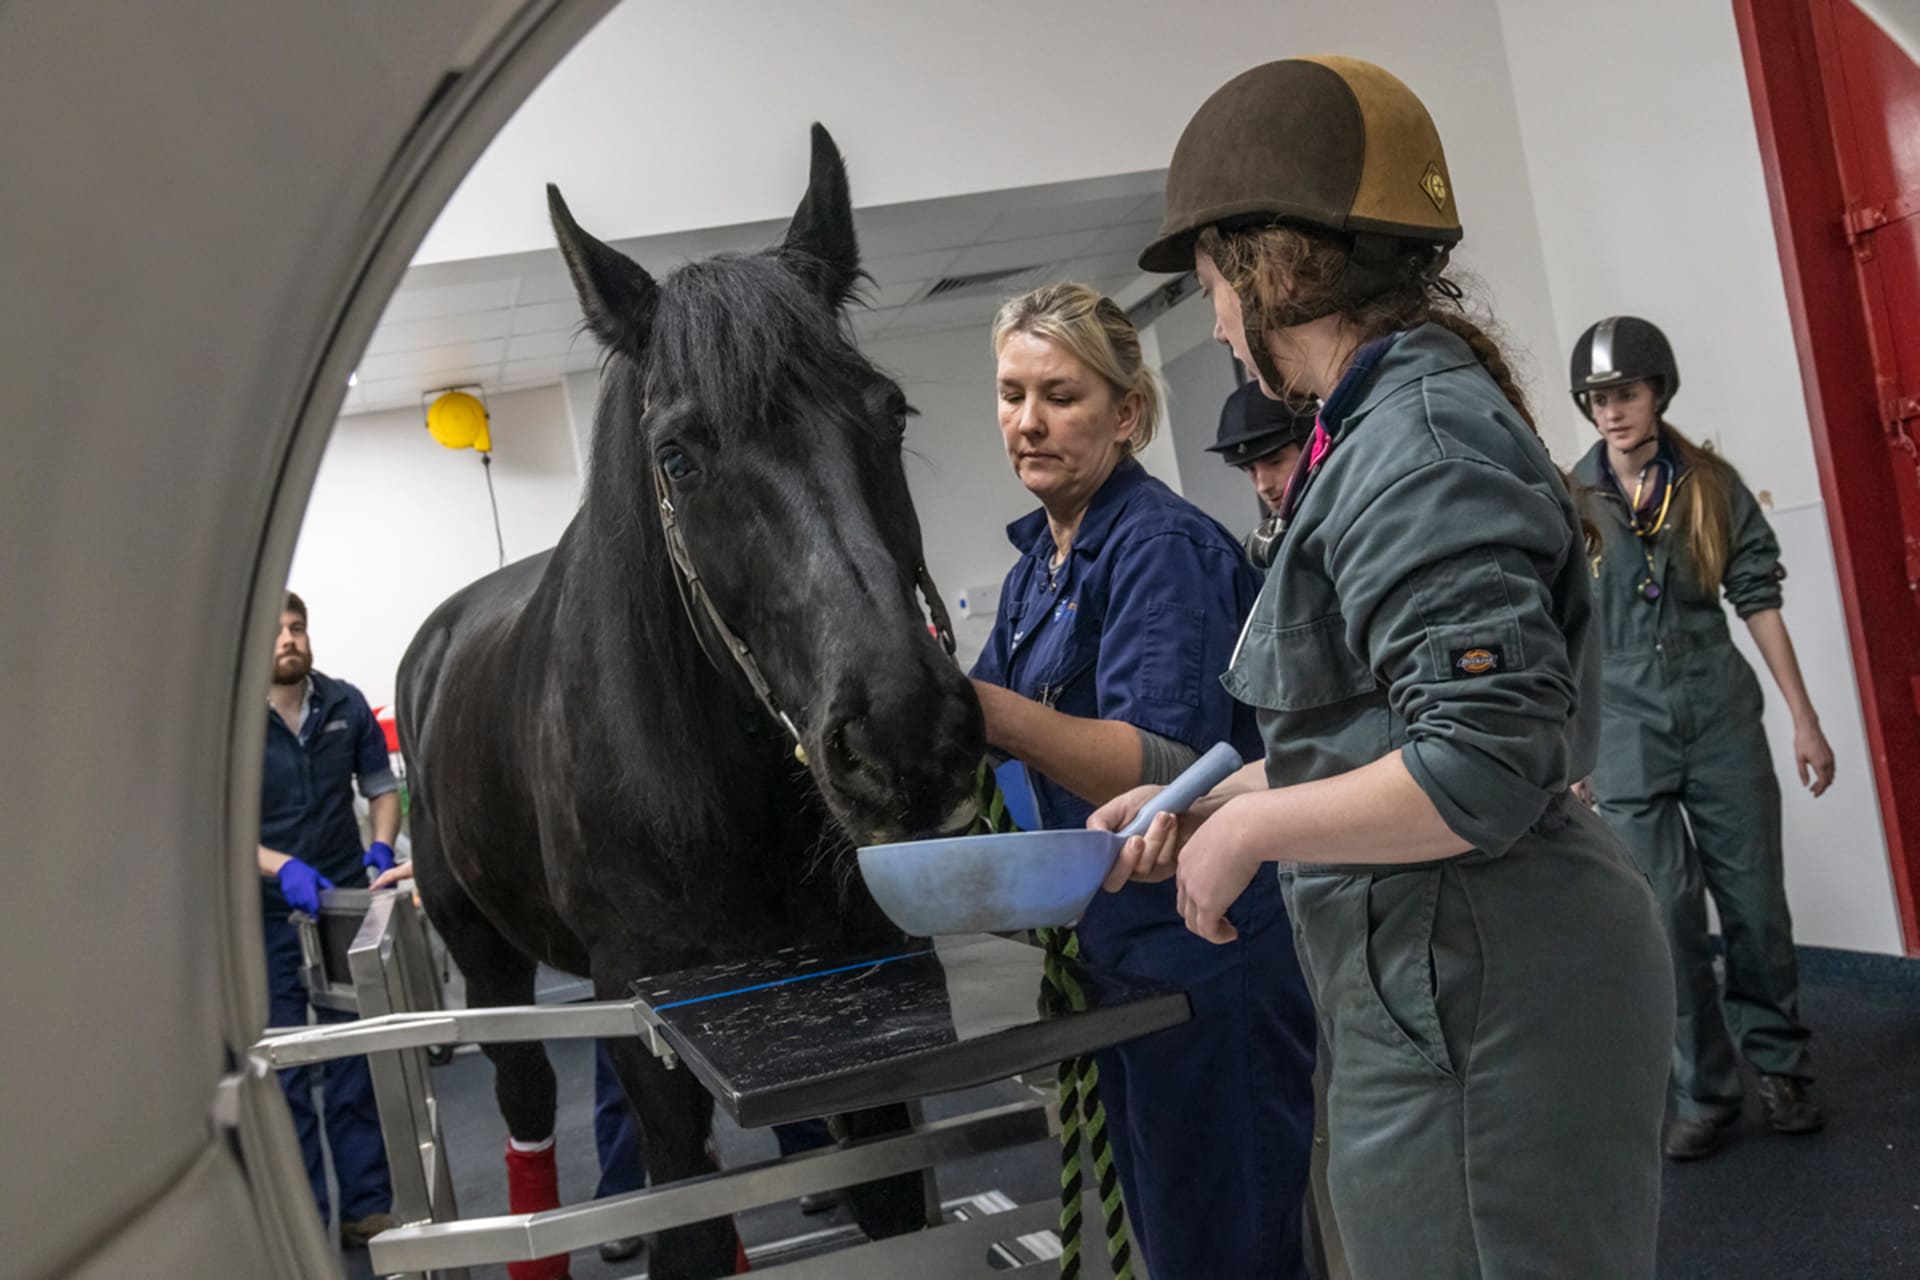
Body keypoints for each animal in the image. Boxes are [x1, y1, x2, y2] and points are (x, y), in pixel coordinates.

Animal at [395, 124, 983, 1274]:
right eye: (677, 457)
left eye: (890, 411)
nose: (907, 737)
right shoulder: (649, 1029)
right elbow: (689, 1220)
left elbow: (885, 1201)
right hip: (484, 953)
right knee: (527, 1105)